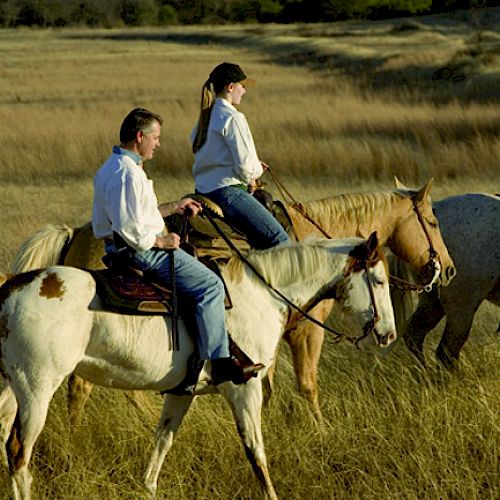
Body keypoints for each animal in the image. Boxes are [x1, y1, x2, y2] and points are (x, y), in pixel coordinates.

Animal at [1, 234, 396, 500]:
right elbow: (256, 451)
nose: (389, 335)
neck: (261, 295)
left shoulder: (181, 391)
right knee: (18, 452)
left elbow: (162, 441)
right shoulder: (245, 387)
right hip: (37, 388)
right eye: (379, 280)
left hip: (10, 385)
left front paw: (148, 488)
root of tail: (10, 289)